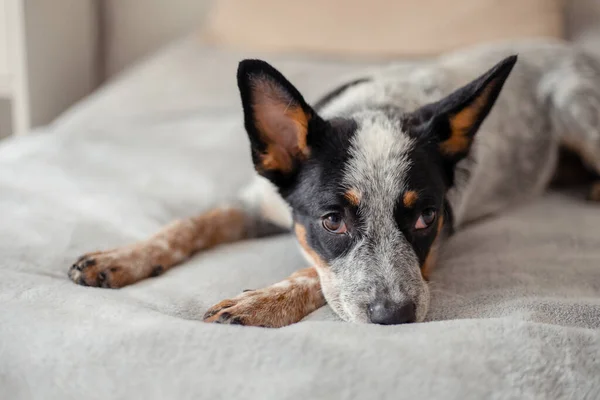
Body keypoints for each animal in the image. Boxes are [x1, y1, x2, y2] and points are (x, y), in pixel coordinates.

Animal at [68, 39, 600, 328]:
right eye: (331, 220)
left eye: (426, 216)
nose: (395, 317)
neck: (379, 107)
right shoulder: (258, 202)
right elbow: (188, 224)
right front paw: (122, 257)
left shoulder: (436, 248)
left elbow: (314, 274)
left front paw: (262, 301)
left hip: (575, 109)